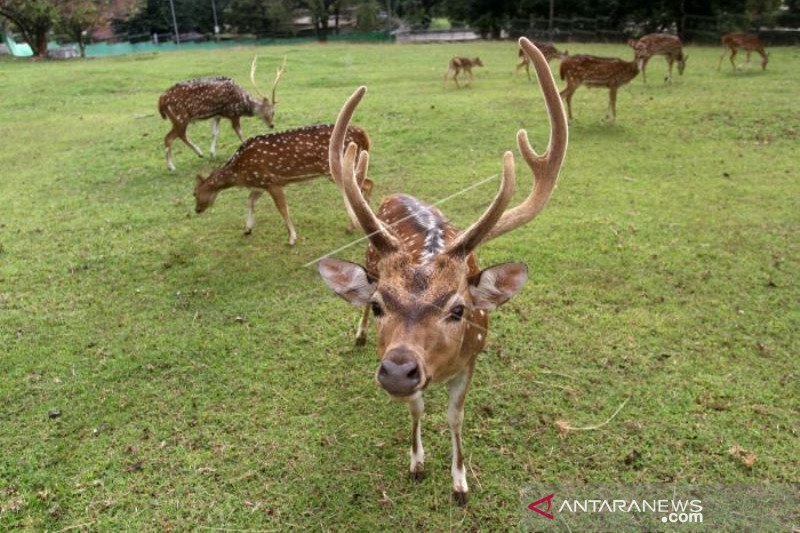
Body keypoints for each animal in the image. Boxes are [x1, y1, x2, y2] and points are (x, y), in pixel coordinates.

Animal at [159, 56, 288, 169]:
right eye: (272, 112)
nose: (272, 125)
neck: (242, 103)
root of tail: (161, 100)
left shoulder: (218, 115)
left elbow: (214, 133)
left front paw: (212, 153)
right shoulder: (233, 114)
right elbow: (240, 133)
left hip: (180, 119)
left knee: (180, 135)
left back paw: (200, 153)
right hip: (180, 117)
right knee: (169, 137)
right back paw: (171, 166)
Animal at [194, 123, 372, 245]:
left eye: (194, 193)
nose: (197, 210)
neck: (240, 172)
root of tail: (363, 135)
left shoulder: (272, 182)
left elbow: (283, 209)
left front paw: (292, 238)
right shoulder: (261, 183)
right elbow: (250, 200)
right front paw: (247, 229)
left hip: (337, 168)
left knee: (364, 185)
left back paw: (354, 225)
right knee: (368, 183)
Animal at [316, 36, 564, 502]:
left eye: (459, 309)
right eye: (379, 305)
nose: (398, 369)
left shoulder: (471, 360)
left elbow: (455, 417)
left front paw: (460, 482)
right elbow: (416, 408)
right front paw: (416, 463)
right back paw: (358, 336)